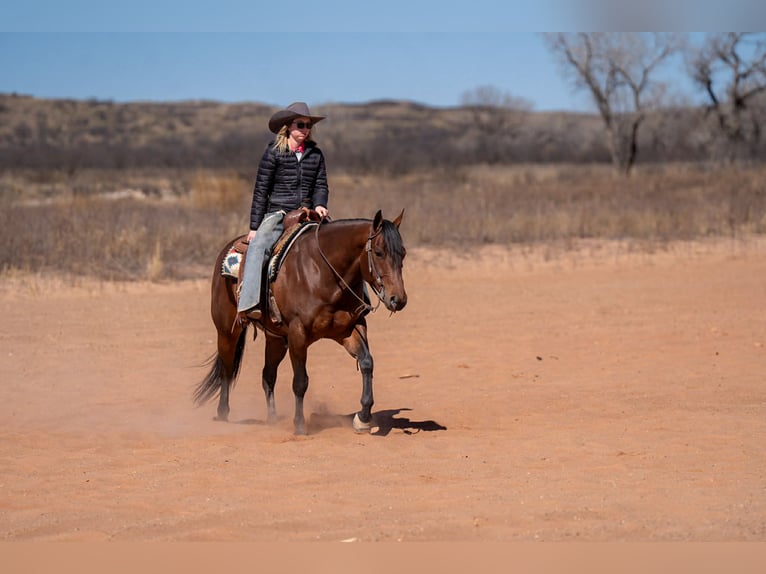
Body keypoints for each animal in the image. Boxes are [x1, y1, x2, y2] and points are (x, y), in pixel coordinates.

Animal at [194, 209, 407, 435]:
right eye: (379, 252)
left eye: (403, 253)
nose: (398, 299)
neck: (323, 274)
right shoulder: (298, 333)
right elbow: (300, 381)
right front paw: (299, 425)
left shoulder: (350, 329)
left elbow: (367, 363)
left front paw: (363, 418)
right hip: (227, 330)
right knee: (227, 369)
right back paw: (223, 414)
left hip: (276, 338)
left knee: (267, 375)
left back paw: (272, 418)